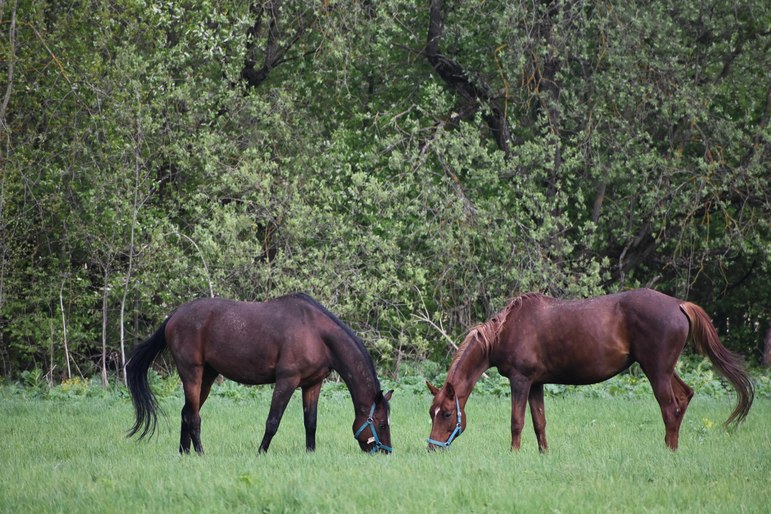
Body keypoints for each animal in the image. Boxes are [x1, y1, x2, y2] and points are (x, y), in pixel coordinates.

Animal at [126, 293, 393, 454]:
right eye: (381, 423)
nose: (385, 452)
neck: (316, 334)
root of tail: (173, 316)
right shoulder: (286, 381)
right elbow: (272, 421)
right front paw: (261, 452)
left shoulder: (312, 384)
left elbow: (311, 422)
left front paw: (310, 452)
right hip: (191, 373)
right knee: (193, 417)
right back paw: (201, 454)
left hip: (207, 377)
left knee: (186, 413)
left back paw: (184, 453)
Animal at [427, 288, 754, 451]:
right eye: (432, 412)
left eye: (447, 413)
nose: (433, 448)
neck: (506, 331)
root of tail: (679, 304)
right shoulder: (536, 384)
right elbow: (539, 423)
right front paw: (543, 456)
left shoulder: (520, 381)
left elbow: (516, 422)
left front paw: (514, 455)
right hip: (663, 369)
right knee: (685, 396)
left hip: (656, 371)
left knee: (670, 409)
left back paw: (669, 452)